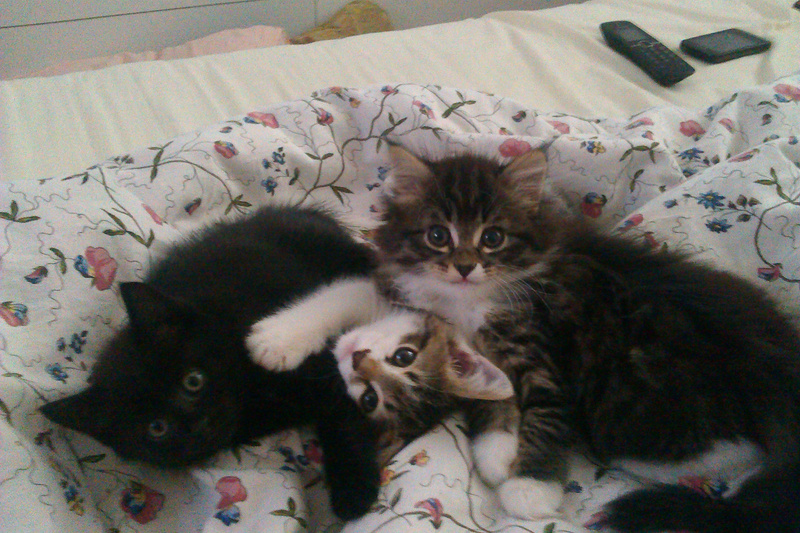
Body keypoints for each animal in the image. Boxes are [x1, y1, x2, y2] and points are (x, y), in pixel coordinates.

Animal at [248, 148, 800, 532]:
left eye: (492, 238)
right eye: (437, 236)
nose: (465, 266)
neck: (466, 302)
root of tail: (776, 358)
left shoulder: (535, 340)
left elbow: (543, 405)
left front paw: (527, 485)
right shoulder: (411, 302)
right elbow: (346, 293)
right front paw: (275, 340)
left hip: (632, 400)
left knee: (723, 449)